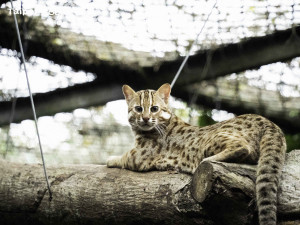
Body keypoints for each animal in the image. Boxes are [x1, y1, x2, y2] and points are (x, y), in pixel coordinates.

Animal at [107, 83, 286, 225]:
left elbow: (123, 157)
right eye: (138, 109)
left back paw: (206, 160)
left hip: (211, 140)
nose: (145, 118)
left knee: (243, 148)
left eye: (154, 109)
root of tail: (270, 123)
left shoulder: (139, 155)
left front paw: (111, 159)